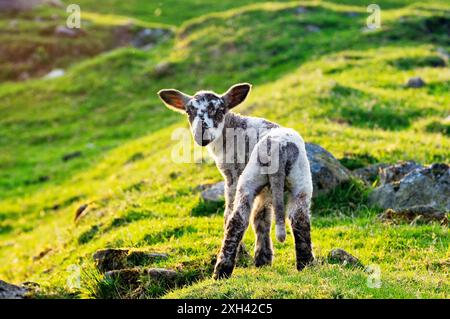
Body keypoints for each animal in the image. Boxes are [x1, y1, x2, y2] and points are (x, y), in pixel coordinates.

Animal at [158, 83, 312, 280]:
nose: (202, 136)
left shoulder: (232, 175)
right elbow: (261, 217)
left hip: (248, 179)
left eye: (220, 110)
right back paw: (306, 265)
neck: (231, 129)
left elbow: (228, 215)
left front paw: (246, 256)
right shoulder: (267, 189)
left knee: (237, 219)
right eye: (188, 111)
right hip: (300, 180)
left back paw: (221, 270)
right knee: (300, 218)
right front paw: (263, 259)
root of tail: (279, 149)